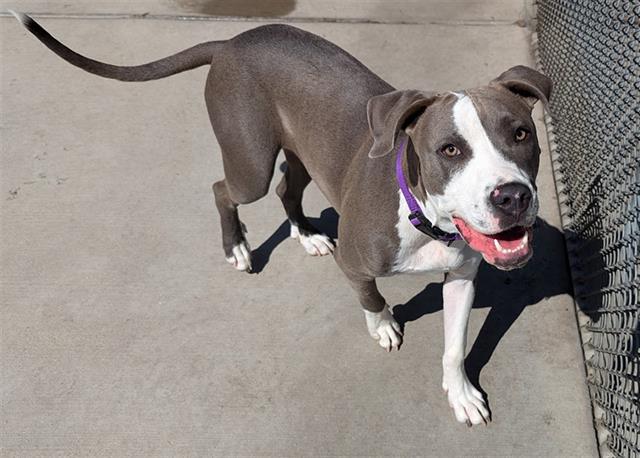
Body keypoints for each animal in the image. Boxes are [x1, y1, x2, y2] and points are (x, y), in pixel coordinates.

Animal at [11, 11, 552, 426]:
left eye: (521, 134)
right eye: (450, 150)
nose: (511, 196)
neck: (426, 218)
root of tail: (231, 41)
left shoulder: (462, 277)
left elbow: (454, 346)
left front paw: (460, 394)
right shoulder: (355, 263)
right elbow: (372, 295)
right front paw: (383, 326)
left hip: (300, 153)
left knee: (285, 189)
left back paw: (308, 234)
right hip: (248, 158)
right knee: (225, 190)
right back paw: (237, 247)